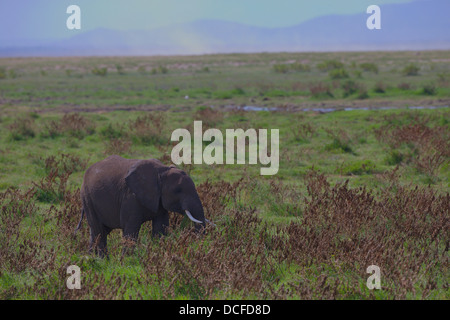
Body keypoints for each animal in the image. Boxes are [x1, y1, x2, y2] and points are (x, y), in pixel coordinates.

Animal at [76, 155, 211, 258]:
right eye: (178, 190)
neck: (162, 171)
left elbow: (160, 227)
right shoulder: (130, 196)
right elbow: (131, 228)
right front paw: (127, 261)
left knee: (99, 231)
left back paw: (91, 258)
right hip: (87, 198)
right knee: (99, 231)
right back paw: (101, 260)